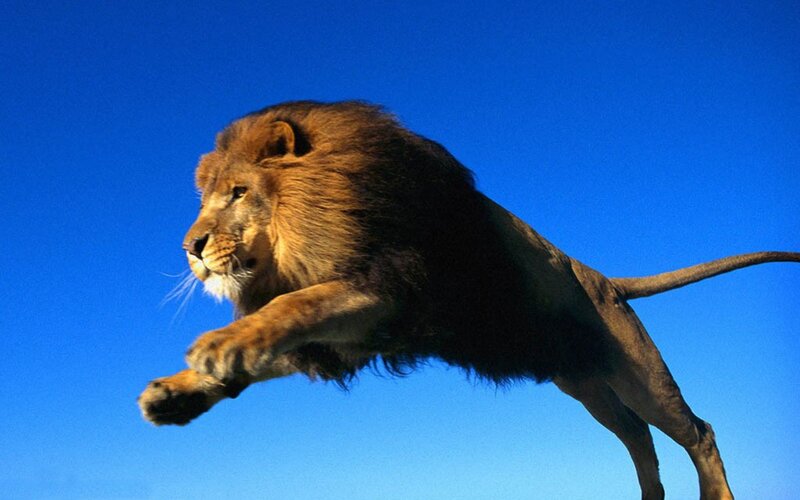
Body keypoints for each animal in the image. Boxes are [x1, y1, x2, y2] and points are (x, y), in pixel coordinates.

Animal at [138, 101, 799, 499]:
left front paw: (218, 346)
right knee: (638, 436)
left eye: (238, 192)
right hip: (586, 385)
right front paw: (177, 392)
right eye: (205, 200)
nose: (191, 248)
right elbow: (276, 340)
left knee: (697, 431)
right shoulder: (354, 335)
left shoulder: (387, 289)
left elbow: (293, 308)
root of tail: (605, 280)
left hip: (637, 371)